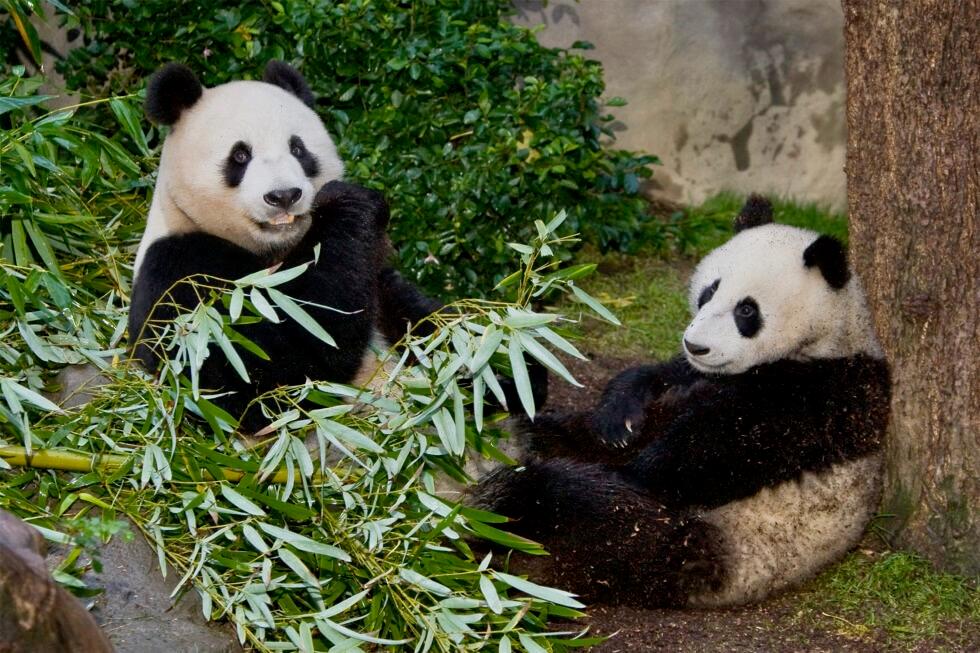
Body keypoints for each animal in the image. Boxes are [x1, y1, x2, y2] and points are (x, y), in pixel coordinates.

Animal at [129, 61, 442, 432]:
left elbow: (426, 323)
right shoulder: (179, 271)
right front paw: (349, 203)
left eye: (298, 149)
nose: (284, 196)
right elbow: (258, 377)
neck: (274, 250)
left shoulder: (377, 278)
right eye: (240, 155)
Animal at [473, 196, 891, 607]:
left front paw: (637, 470)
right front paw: (618, 419)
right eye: (709, 291)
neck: (828, 338)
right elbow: (654, 379)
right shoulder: (697, 374)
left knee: (574, 509)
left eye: (746, 310)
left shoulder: (828, 392)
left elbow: (713, 451)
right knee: (560, 435)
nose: (696, 345)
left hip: (683, 544)